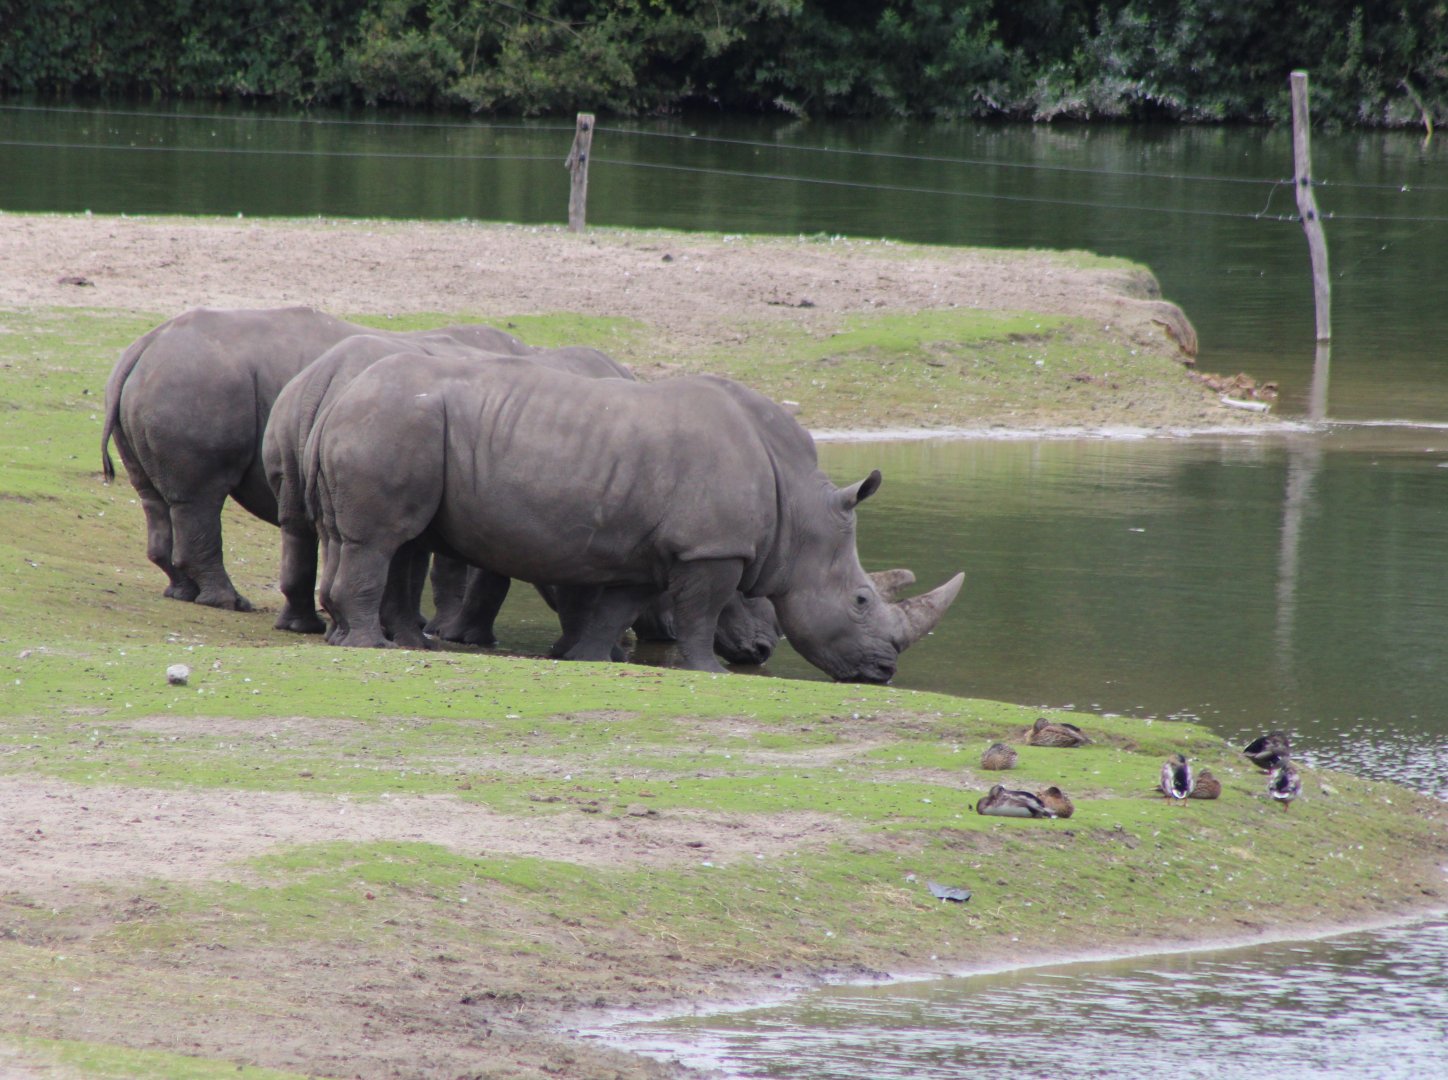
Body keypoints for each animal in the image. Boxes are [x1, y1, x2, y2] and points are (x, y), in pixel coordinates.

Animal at [101, 306, 535, 612]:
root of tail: (144, 345)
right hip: (197, 381)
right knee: (201, 497)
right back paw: (229, 602)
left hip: (164, 382)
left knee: (156, 496)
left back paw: (183, 592)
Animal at [305, 352, 962, 681]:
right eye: (860, 600)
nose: (884, 670)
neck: (801, 510)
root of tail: (339, 395)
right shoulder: (712, 548)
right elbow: (700, 612)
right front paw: (708, 671)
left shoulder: (651, 555)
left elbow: (618, 605)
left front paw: (586, 659)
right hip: (394, 420)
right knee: (381, 540)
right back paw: (372, 647)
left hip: (389, 421)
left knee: (392, 540)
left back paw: (394, 642)